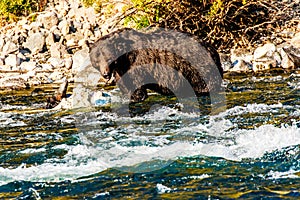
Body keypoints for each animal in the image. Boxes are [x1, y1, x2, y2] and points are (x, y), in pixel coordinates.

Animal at [88, 27, 223, 102]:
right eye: (96, 61)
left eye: (109, 58)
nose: (105, 74)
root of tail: (213, 49)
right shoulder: (121, 70)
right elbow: (126, 86)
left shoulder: (135, 64)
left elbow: (136, 88)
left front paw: (137, 98)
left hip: (198, 68)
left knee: (204, 85)